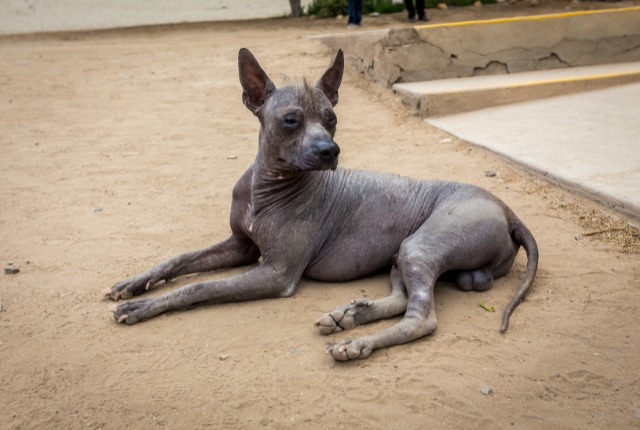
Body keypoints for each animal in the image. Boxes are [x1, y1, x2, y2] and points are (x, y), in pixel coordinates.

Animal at [107, 48, 536, 362]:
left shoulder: (276, 273)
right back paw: (348, 316)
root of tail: (508, 209)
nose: (330, 151)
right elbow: (178, 260)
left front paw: (144, 307)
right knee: (402, 297)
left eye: (331, 118)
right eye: (291, 120)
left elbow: (197, 288)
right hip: (402, 251)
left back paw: (357, 342)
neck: (266, 189)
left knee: (422, 317)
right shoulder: (241, 247)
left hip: (421, 247)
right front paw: (135, 283)